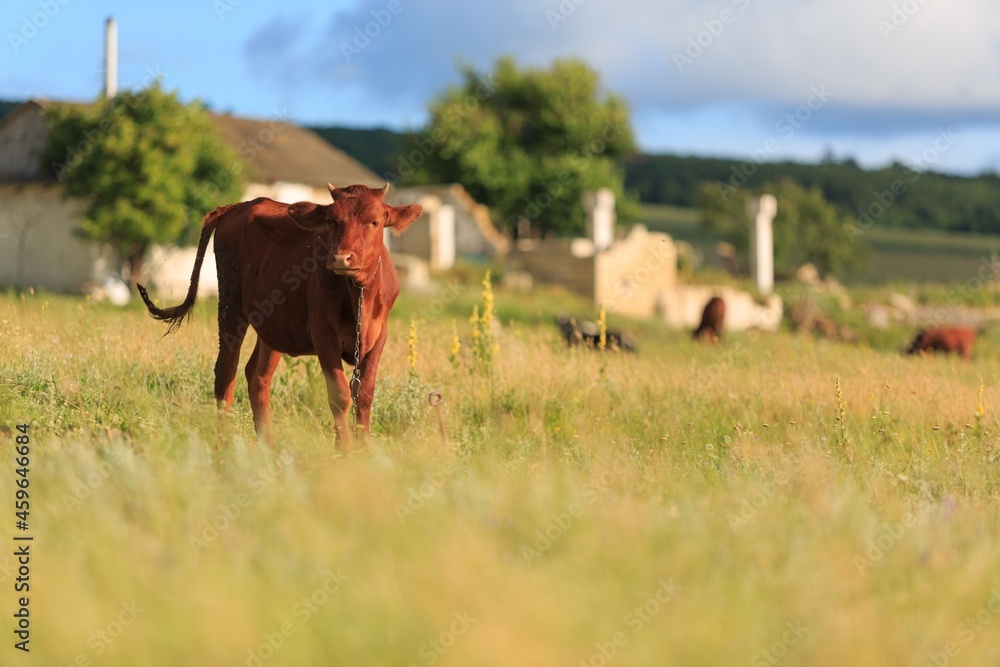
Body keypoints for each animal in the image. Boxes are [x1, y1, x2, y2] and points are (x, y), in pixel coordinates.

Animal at [139, 181, 420, 448]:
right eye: (331, 221)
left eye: (375, 222)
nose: (342, 258)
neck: (357, 295)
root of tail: (239, 206)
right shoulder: (323, 334)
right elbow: (340, 394)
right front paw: (345, 452)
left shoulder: (379, 335)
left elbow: (364, 395)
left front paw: (365, 452)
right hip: (230, 306)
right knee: (226, 373)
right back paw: (225, 447)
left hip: (273, 326)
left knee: (257, 378)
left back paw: (269, 449)